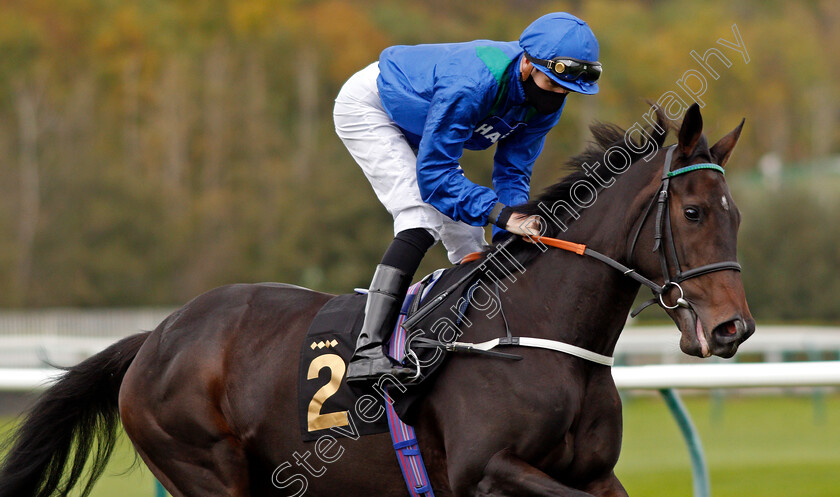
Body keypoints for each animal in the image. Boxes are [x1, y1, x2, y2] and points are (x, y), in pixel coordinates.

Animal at [0, 102, 756, 494]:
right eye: (692, 212)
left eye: (736, 214)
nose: (733, 329)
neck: (539, 335)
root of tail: (154, 338)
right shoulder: (486, 472)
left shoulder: (594, 474)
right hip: (206, 469)